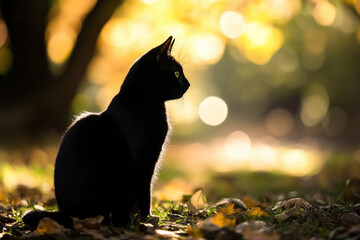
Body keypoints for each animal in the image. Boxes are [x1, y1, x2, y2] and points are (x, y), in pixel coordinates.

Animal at [23, 35, 190, 229]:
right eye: (177, 73)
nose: (188, 84)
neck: (140, 100)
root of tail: (70, 212)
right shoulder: (144, 160)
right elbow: (146, 190)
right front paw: (146, 218)